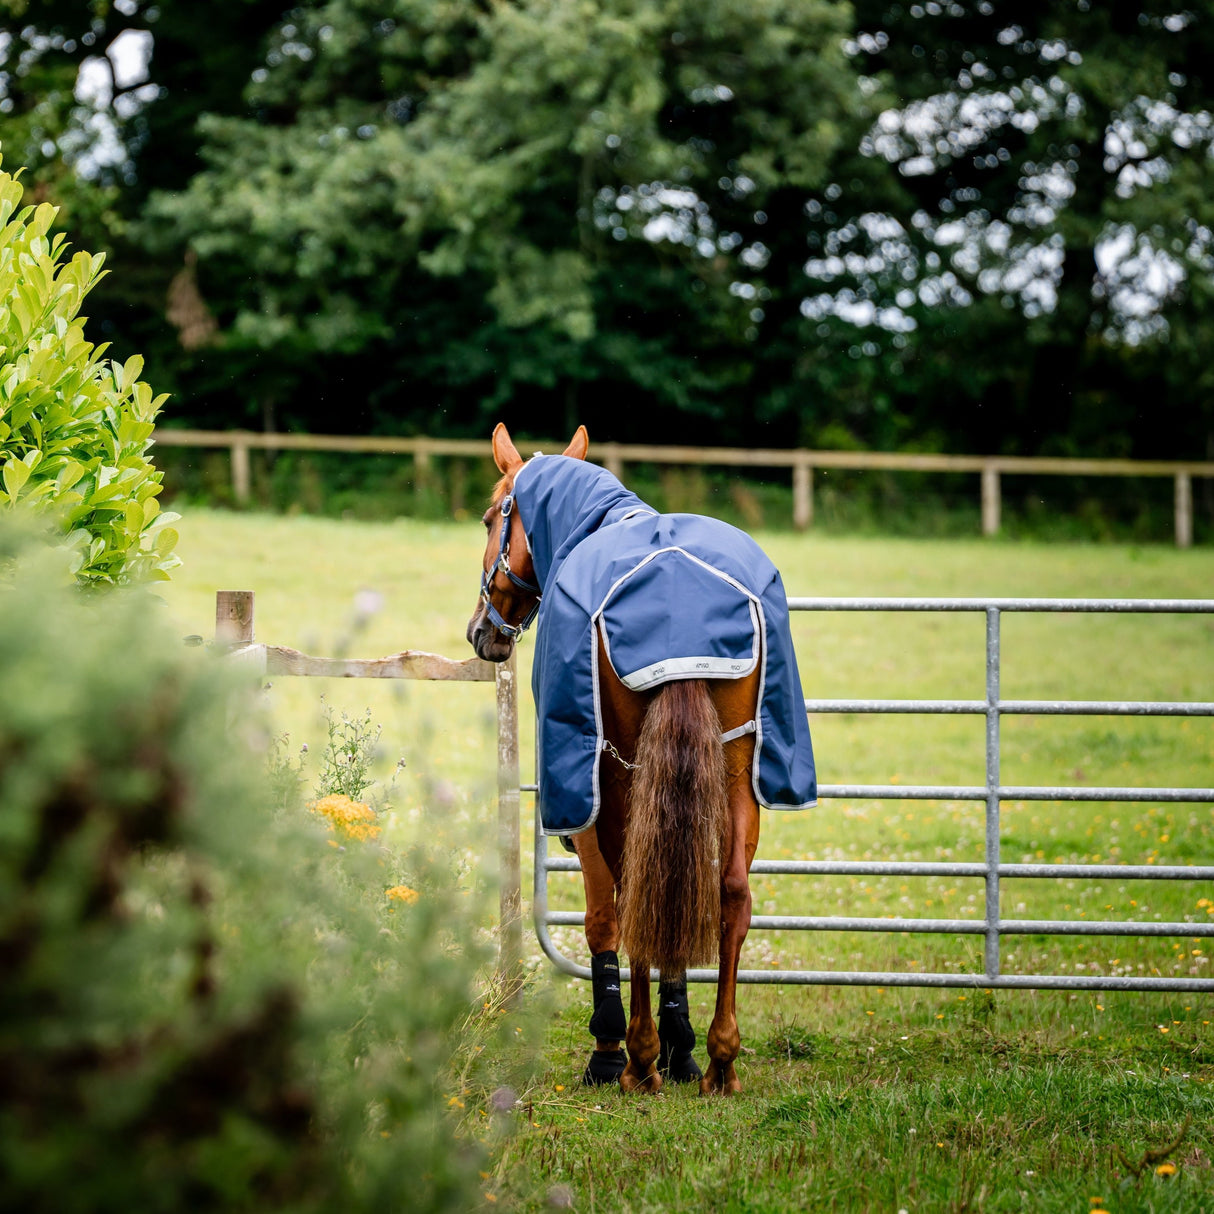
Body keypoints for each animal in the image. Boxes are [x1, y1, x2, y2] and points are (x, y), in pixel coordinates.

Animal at [468, 427, 762, 1102]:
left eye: (490, 519)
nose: (480, 633)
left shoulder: (587, 809)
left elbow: (605, 919)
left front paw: (610, 1049)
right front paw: (681, 1048)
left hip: (620, 781)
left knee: (632, 900)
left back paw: (637, 1059)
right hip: (736, 774)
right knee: (729, 893)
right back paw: (719, 1059)